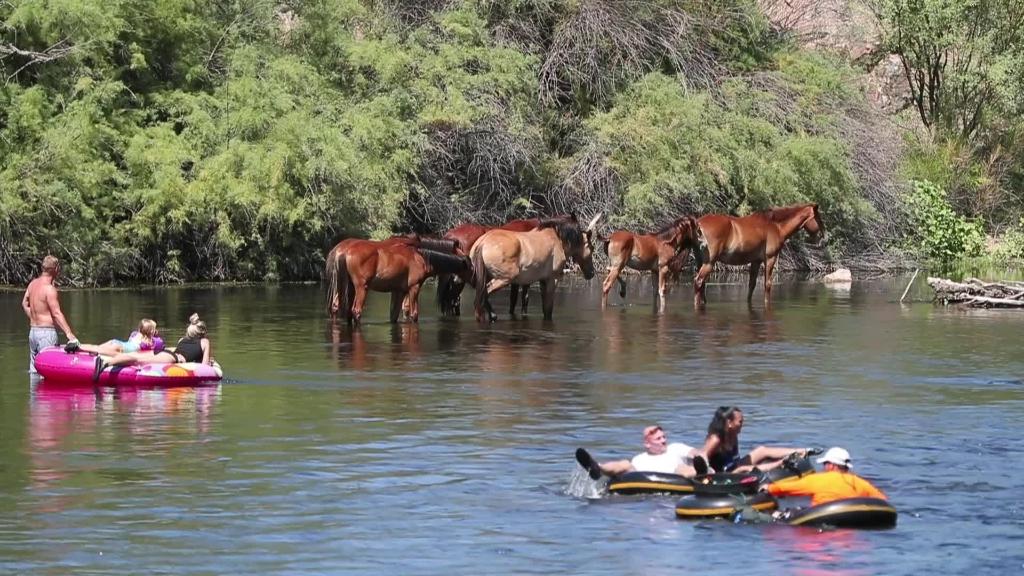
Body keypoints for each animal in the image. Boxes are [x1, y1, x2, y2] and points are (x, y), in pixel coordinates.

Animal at [325, 237, 469, 324]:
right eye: (462, 255)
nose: (471, 264)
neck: (421, 255)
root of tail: (343, 251)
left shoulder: (398, 291)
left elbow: (394, 315)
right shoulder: (414, 287)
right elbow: (413, 314)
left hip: (346, 286)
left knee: (342, 309)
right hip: (361, 287)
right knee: (355, 311)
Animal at [471, 214, 601, 322]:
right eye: (592, 248)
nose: (591, 273)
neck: (559, 240)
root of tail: (482, 244)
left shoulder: (543, 281)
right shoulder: (552, 279)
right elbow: (548, 310)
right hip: (505, 278)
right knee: (482, 295)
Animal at [693, 203, 825, 305]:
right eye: (818, 218)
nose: (823, 238)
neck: (776, 226)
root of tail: (697, 223)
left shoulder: (755, 261)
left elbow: (752, 285)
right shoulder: (770, 258)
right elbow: (767, 285)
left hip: (701, 262)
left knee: (702, 284)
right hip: (709, 262)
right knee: (698, 281)